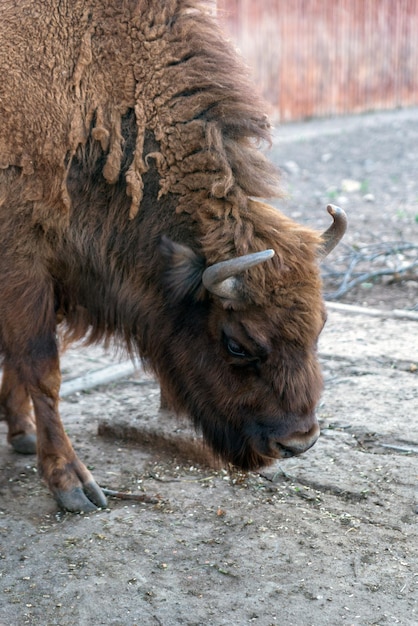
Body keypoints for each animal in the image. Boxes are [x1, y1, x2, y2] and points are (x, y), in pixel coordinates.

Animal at [0, 0, 346, 510]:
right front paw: (72, 484)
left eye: (320, 326)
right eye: (237, 342)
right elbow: (43, 369)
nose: (298, 442)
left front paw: (22, 434)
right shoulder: (24, 263)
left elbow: (18, 359)